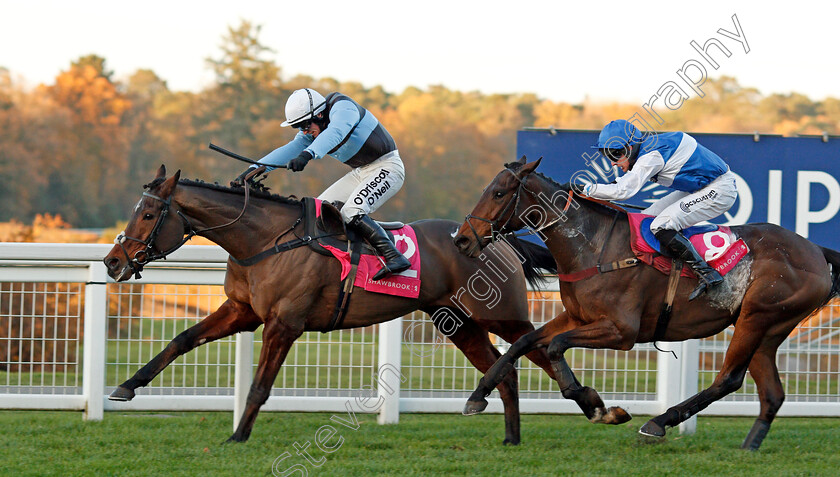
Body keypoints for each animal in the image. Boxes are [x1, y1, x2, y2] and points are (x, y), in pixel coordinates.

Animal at [106, 165, 564, 444]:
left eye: (148, 215)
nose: (113, 261)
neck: (264, 240)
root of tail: (497, 239)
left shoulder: (284, 323)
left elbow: (259, 386)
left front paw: (238, 436)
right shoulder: (243, 312)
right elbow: (181, 340)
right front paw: (127, 386)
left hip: (503, 317)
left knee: (536, 350)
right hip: (460, 323)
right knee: (506, 372)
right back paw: (510, 437)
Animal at [456, 157, 840, 450]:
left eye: (499, 193)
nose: (461, 241)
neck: (595, 247)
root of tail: (814, 249)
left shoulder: (621, 331)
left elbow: (554, 347)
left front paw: (591, 402)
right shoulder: (577, 317)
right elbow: (522, 343)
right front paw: (478, 396)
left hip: (759, 316)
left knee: (729, 379)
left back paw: (659, 422)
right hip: (765, 328)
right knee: (772, 393)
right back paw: (748, 447)